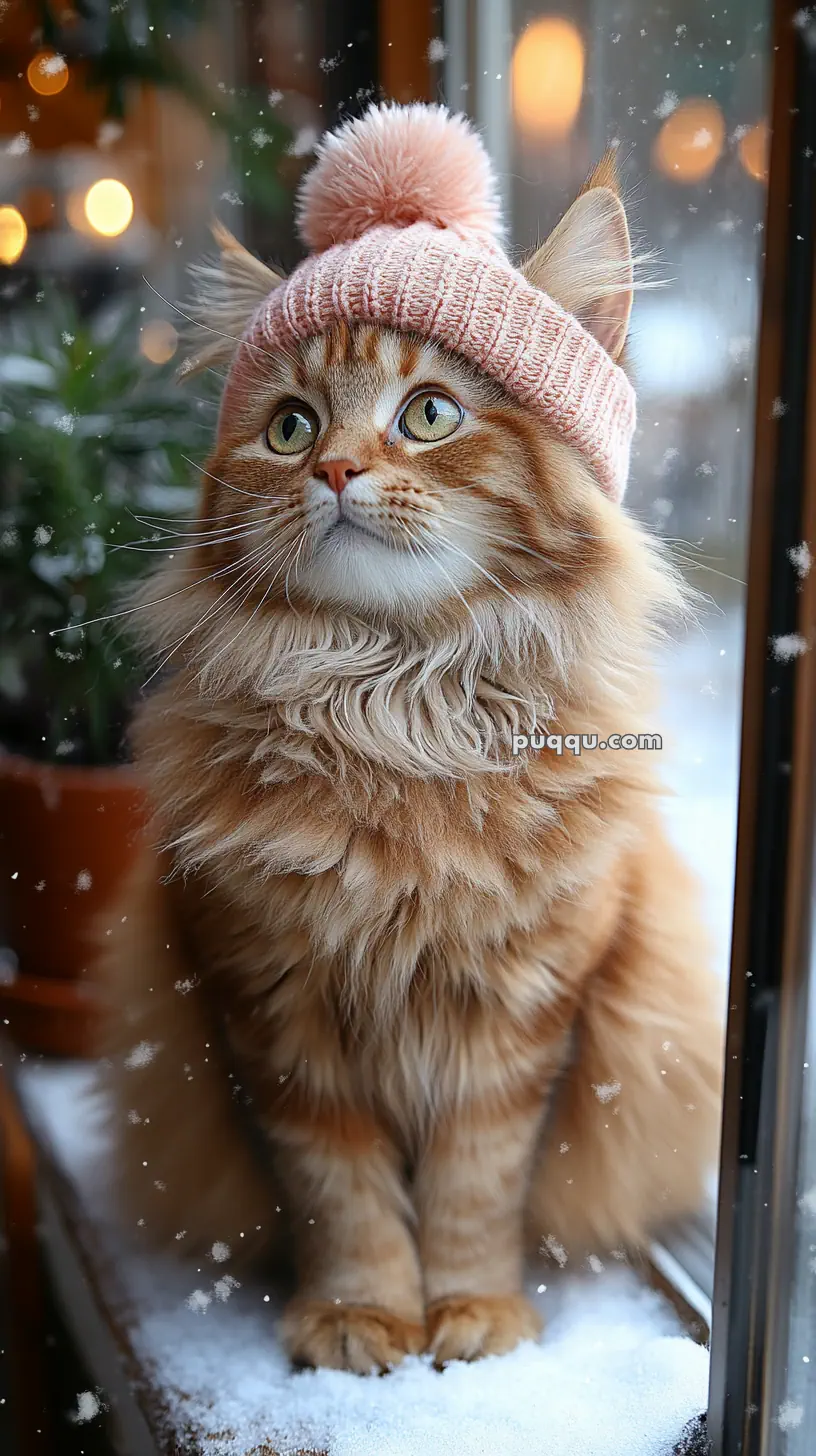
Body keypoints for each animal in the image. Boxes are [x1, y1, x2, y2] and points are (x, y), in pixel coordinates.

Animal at [100, 107, 719, 1368]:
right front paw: (361, 1316)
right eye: (289, 428)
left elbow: (475, 1186)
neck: (396, 703)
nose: (336, 467)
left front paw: (474, 1314)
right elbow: (340, 1191)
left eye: (429, 412)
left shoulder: (525, 1015)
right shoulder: (273, 1008)